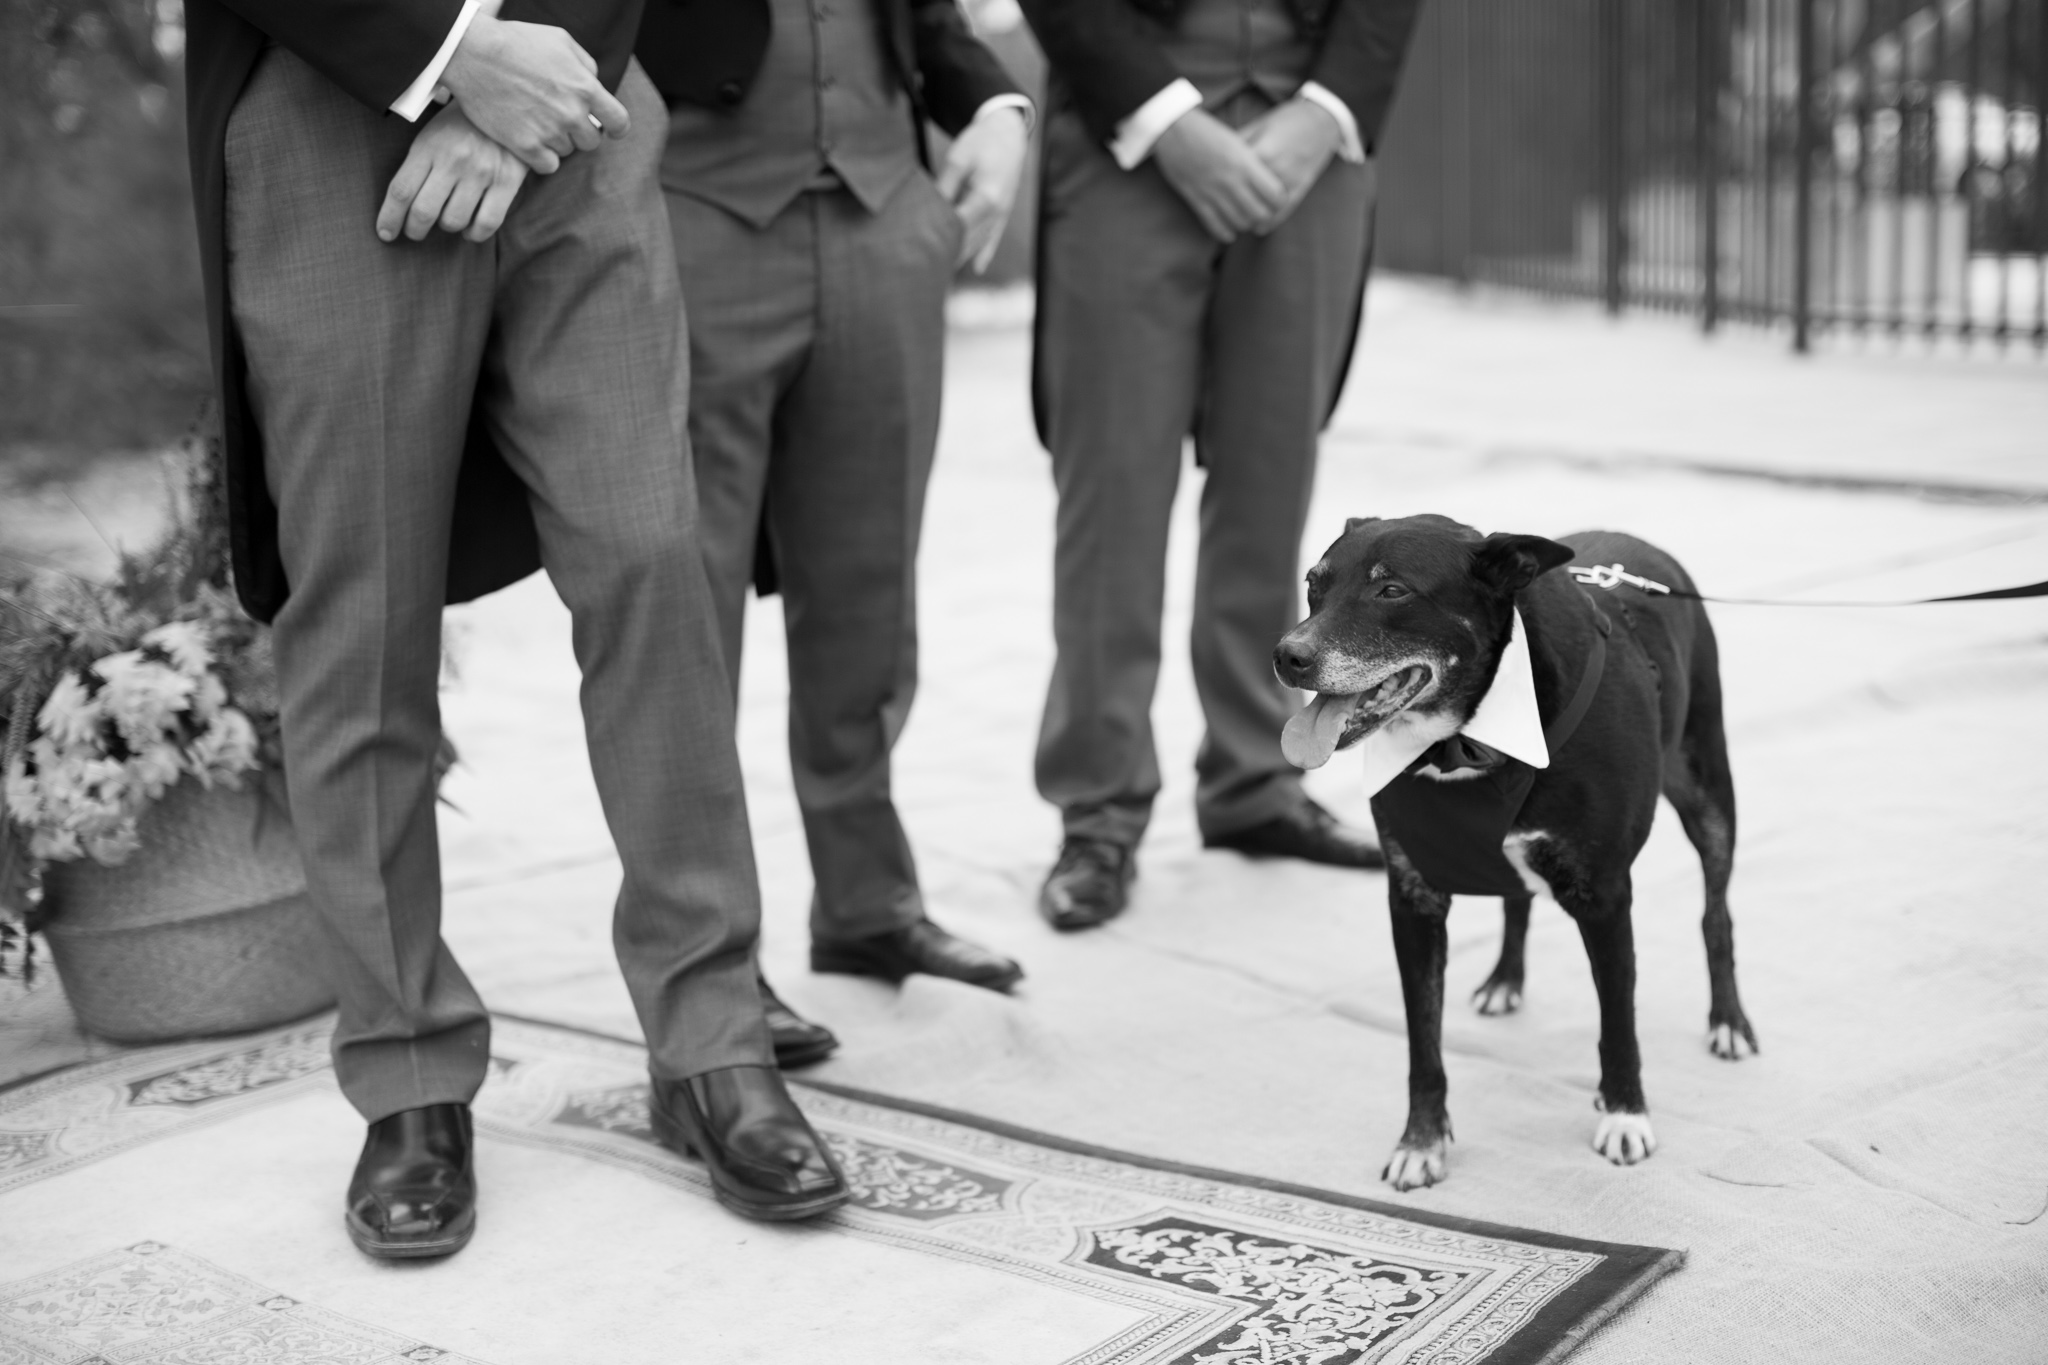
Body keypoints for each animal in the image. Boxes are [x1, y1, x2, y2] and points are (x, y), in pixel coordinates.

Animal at [1269, 517, 1753, 1186]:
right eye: (1314, 584)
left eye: (1392, 590)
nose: (1287, 656)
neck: (1461, 740)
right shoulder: (1412, 900)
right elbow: (1423, 1039)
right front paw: (1421, 1140)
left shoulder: (1605, 896)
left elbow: (1618, 1023)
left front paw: (1625, 1113)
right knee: (1515, 898)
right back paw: (1504, 979)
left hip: (1707, 789)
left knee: (1715, 913)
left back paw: (1727, 1020)